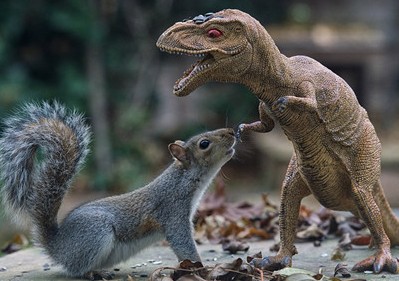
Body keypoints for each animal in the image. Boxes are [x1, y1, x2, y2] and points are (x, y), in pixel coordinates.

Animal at [0, 101, 238, 278]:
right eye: (204, 144)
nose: (232, 131)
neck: (183, 179)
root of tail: (57, 245)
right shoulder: (173, 211)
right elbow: (183, 243)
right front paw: (201, 270)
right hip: (95, 232)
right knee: (76, 270)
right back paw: (93, 274)